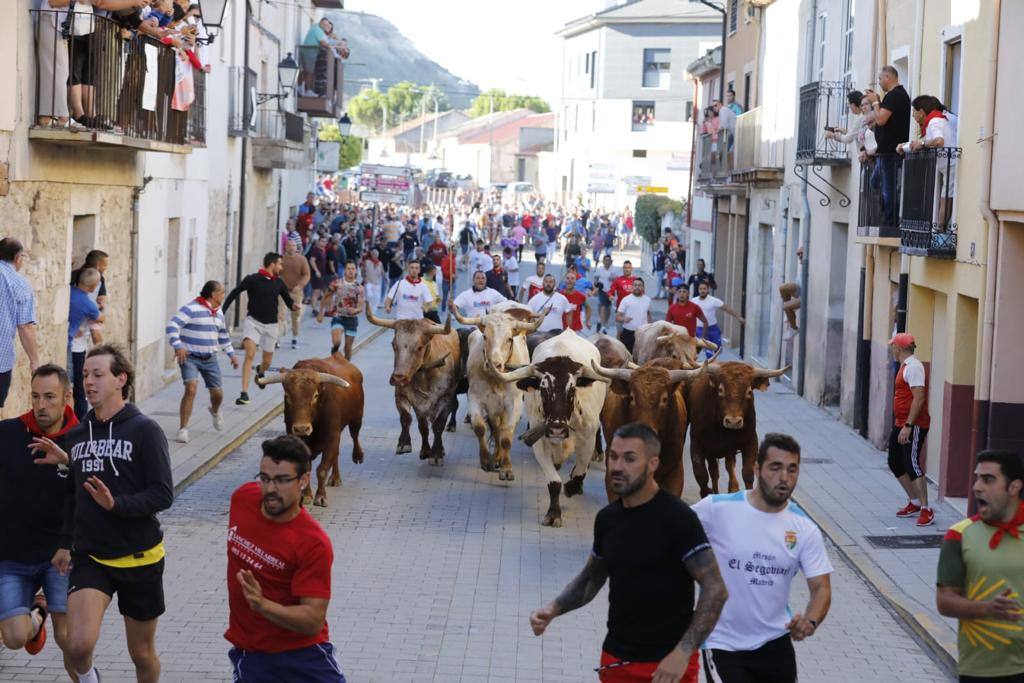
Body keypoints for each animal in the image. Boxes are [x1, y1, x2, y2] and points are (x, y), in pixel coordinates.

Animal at [256, 352, 364, 507]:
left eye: (315, 395)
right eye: (287, 396)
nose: (302, 428)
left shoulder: (332, 436)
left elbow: (322, 469)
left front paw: (321, 496)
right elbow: (306, 468)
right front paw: (306, 495)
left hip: (357, 417)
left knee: (354, 436)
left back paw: (357, 456)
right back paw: (335, 478)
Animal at [368, 305, 460, 464]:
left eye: (419, 347)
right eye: (393, 345)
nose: (398, 378)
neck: (423, 376)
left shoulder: (446, 399)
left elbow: (438, 426)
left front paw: (436, 454)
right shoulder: (403, 396)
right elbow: (410, 420)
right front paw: (407, 445)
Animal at [684, 362, 786, 497]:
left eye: (749, 391)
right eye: (720, 390)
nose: (733, 421)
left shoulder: (750, 441)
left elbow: (747, 473)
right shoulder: (697, 443)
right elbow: (701, 474)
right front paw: (707, 493)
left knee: (727, 467)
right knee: (714, 472)